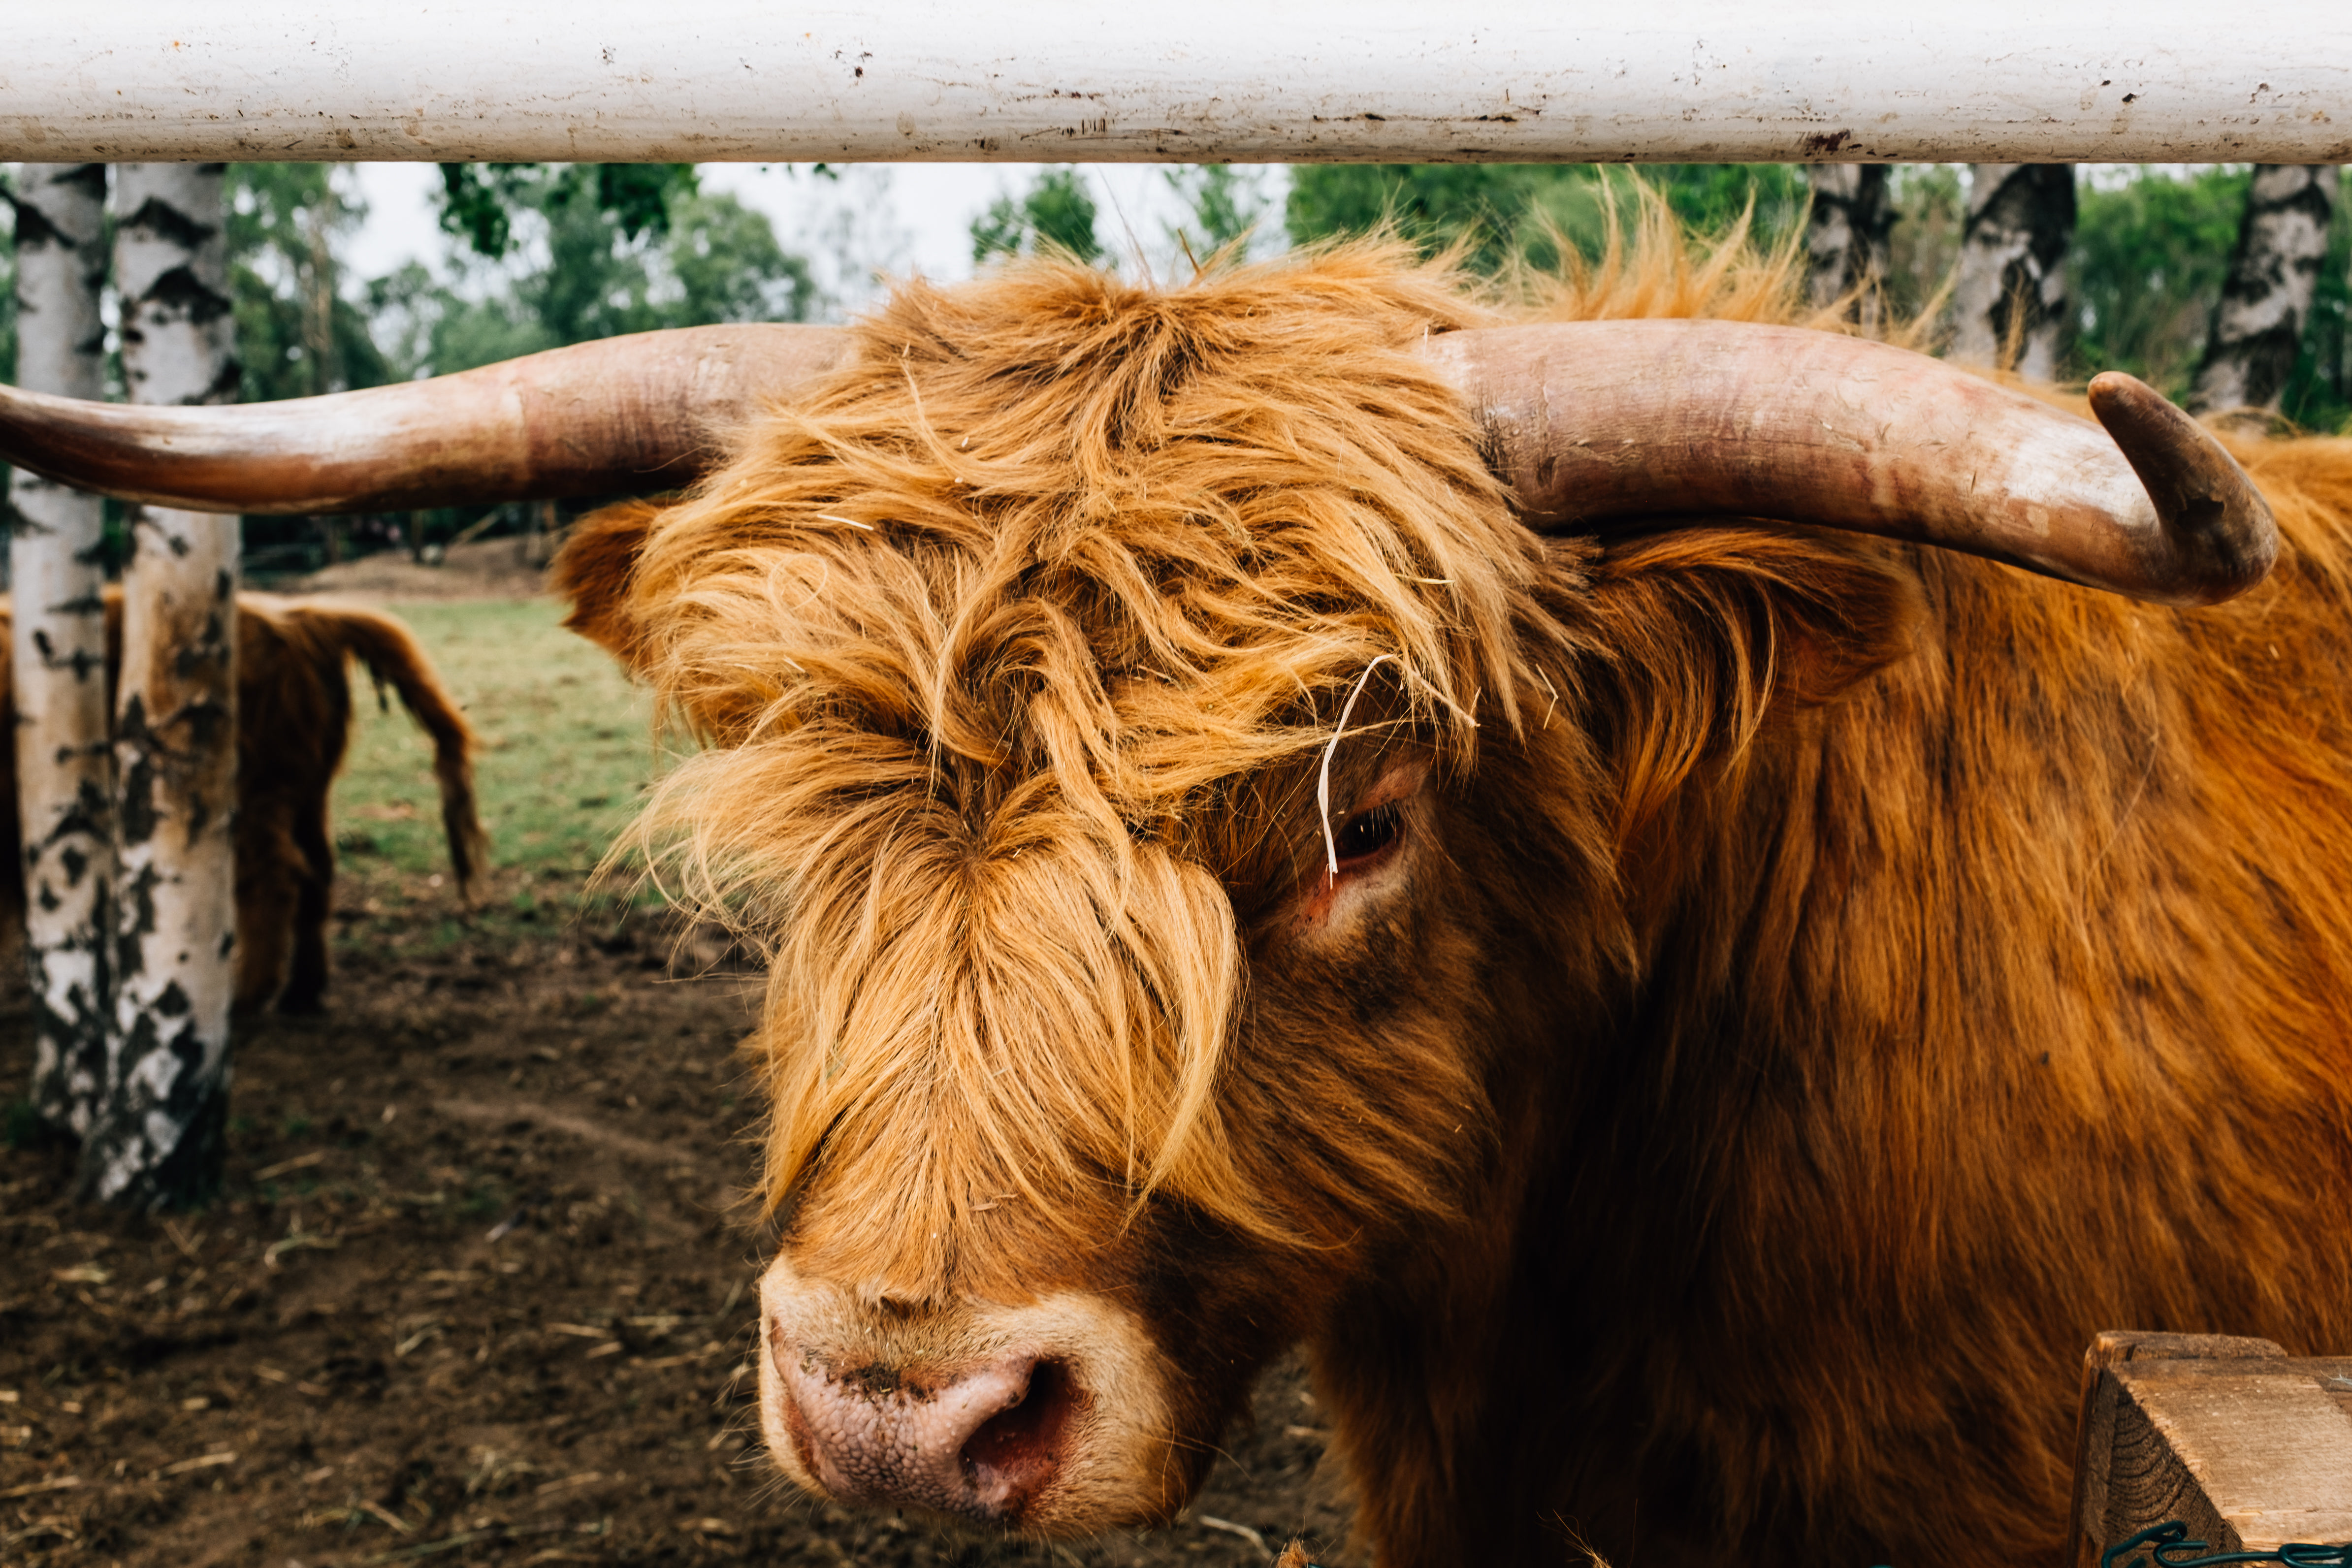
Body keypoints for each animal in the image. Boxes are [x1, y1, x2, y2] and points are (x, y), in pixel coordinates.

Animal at [1, 595, 486, 1011]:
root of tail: (299, 620)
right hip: (308, 793)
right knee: (316, 873)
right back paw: (301, 991)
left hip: (247, 797)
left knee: (274, 877)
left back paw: (249, 994)